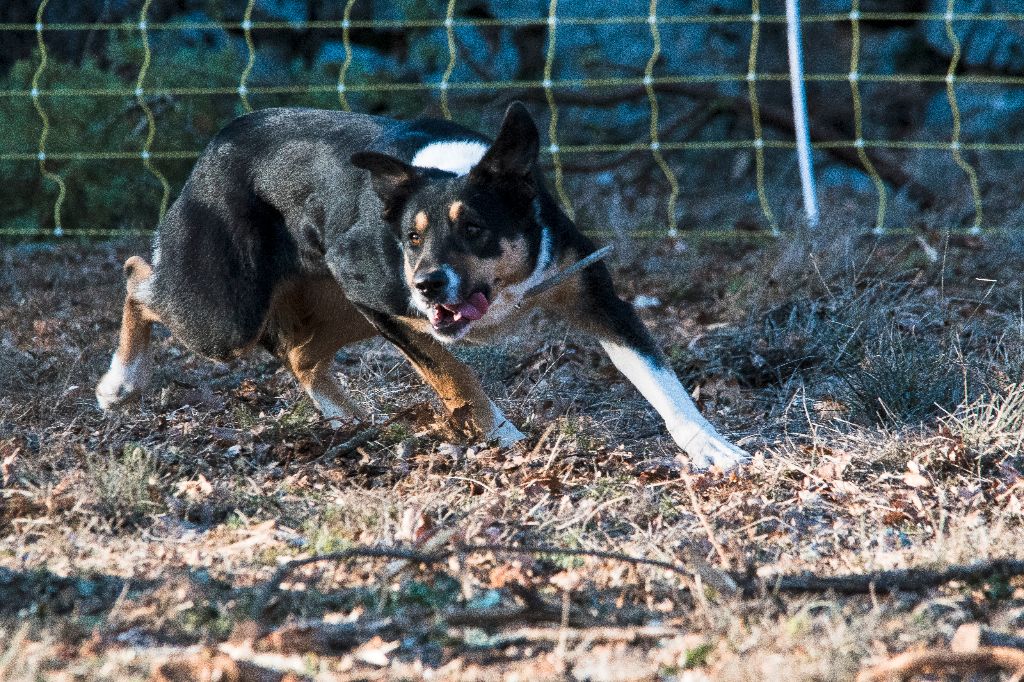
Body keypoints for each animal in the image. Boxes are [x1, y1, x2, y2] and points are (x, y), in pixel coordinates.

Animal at [96, 100, 749, 466]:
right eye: (411, 238)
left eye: (476, 228)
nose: (430, 284)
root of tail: (217, 143)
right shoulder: (384, 297)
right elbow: (454, 371)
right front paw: (503, 436)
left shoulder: (594, 295)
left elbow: (660, 380)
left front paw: (713, 448)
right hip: (229, 311)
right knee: (136, 276)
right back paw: (119, 383)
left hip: (332, 309)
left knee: (300, 354)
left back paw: (347, 419)